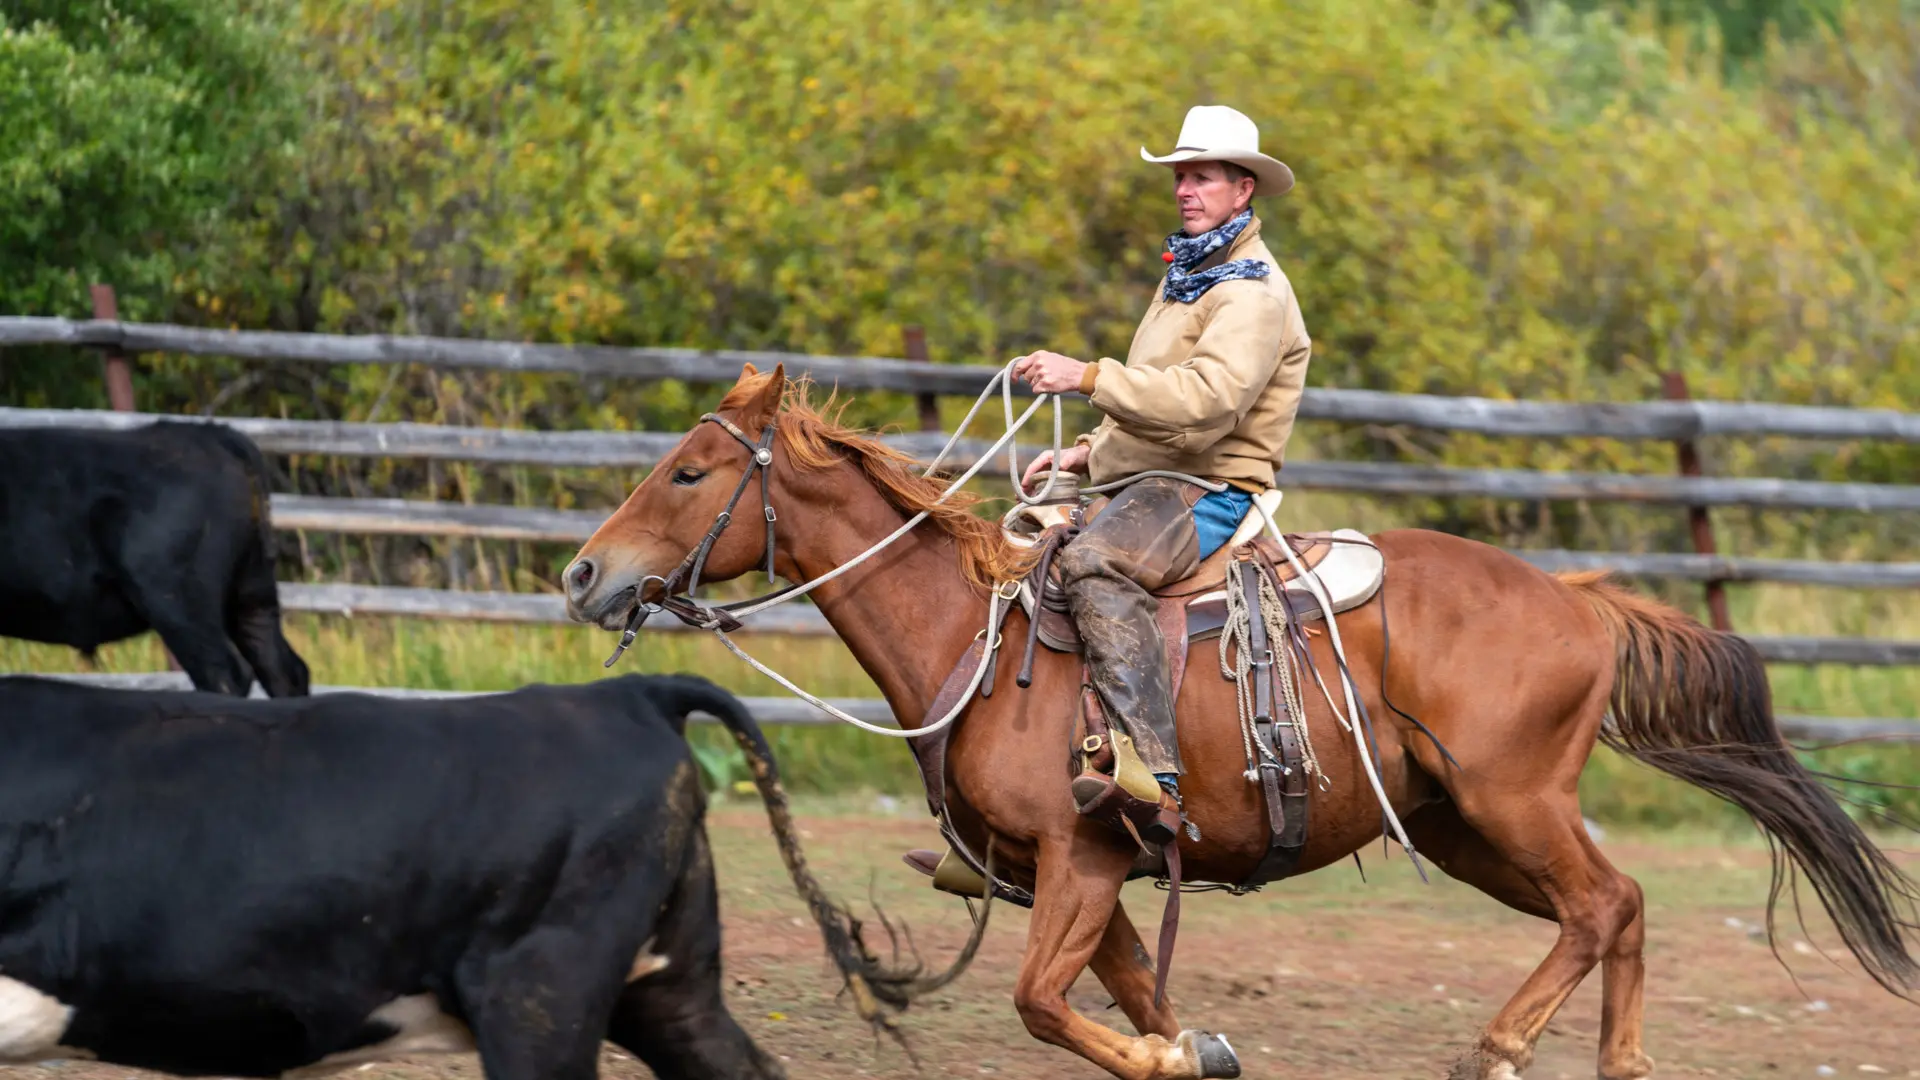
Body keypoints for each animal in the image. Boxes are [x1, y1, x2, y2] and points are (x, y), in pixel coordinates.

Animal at [560, 363, 1912, 1076]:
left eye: (689, 471)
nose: (582, 575)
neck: (976, 645)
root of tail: (1579, 600)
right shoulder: (1090, 880)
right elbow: (1132, 1000)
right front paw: (1195, 1048)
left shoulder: (1080, 859)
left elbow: (1045, 1004)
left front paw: (1172, 1052)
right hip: (1463, 828)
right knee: (1616, 908)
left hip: (1512, 803)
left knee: (1604, 904)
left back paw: (1498, 1046)